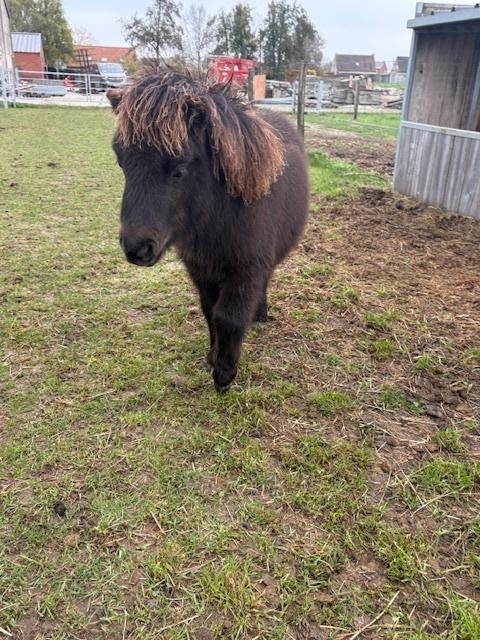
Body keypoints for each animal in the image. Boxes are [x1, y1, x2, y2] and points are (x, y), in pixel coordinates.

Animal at [107, 70, 309, 392]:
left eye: (179, 170)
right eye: (121, 162)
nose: (136, 248)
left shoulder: (247, 270)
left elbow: (229, 317)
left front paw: (224, 374)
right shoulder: (201, 269)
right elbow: (209, 312)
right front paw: (213, 358)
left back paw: (260, 315)